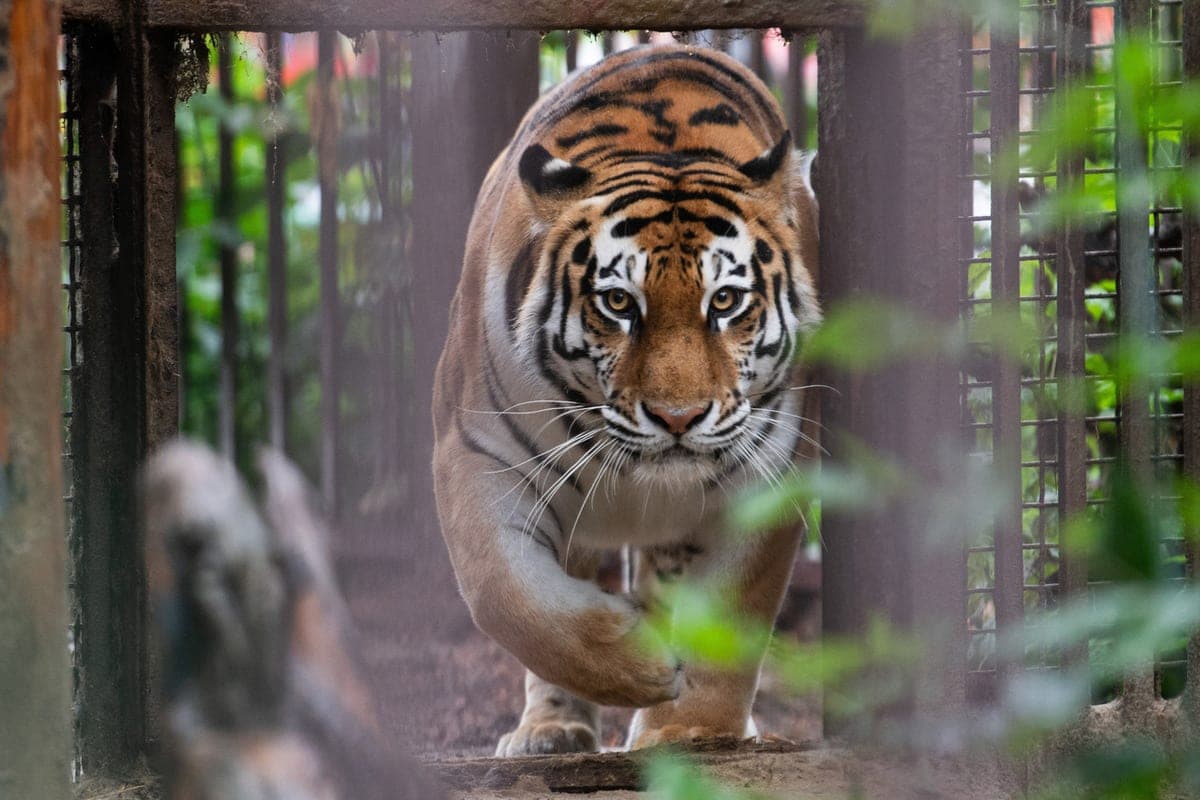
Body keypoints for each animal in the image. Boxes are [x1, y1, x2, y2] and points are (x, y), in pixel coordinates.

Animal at [432, 43, 821, 755]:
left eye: (726, 301)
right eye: (618, 303)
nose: (678, 417)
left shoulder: (772, 469)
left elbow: (732, 613)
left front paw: (690, 730)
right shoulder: (476, 452)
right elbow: (504, 593)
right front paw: (638, 665)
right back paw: (550, 730)